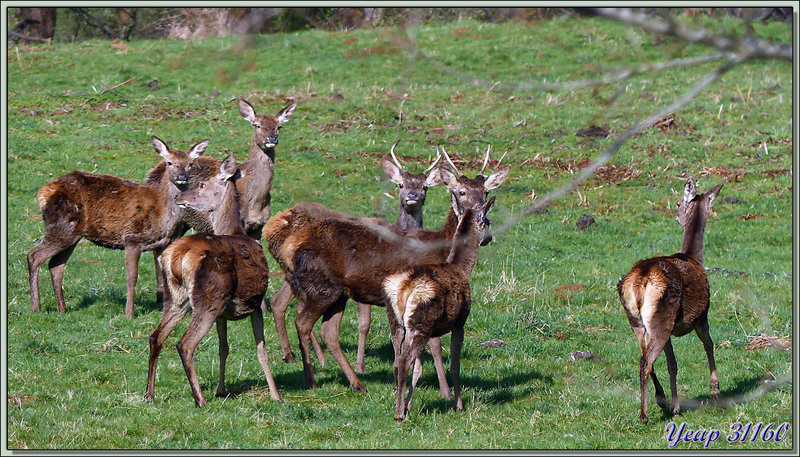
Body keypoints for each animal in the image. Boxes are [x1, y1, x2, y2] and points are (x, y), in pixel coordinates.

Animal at [27, 135, 208, 318]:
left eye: (190, 163)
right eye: (170, 162)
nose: (182, 176)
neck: (164, 216)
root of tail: (42, 193)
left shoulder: (162, 244)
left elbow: (164, 276)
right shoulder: (133, 238)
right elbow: (132, 277)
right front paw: (129, 313)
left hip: (72, 234)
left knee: (56, 265)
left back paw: (62, 309)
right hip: (61, 227)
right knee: (34, 256)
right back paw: (36, 307)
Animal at [145, 152, 282, 406]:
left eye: (202, 185)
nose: (179, 196)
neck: (236, 230)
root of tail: (178, 256)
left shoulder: (223, 314)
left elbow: (223, 347)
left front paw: (221, 389)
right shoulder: (256, 302)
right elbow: (262, 350)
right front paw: (276, 395)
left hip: (177, 299)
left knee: (156, 336)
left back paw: (149, 394)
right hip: (210, 298)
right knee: (185, 343)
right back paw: (200, 399)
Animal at [266, 148, 510, 394]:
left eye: (486, 192)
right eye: (461, 191)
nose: (485, 230)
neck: (443, 250)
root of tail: (290, 242)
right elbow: (435, 344)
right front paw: (444, 390)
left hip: (337, 293)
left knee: (328, 331)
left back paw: (356, 383)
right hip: (321, 287)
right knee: (302, 322)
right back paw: (311, 379)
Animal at [384, 200, 490, 420]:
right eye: (487, 221)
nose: (489, 238)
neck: (462, 269)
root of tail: (405, 287)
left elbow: (418, 370)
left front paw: (409, 405)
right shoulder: (460, 322)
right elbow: (455, 365)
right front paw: (459, 404)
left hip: (396, 324)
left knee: (398, 362)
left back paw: (400, 407)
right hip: (421, 322)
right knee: (404, 361)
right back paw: (398, 414)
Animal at [620, 176, 724, 422]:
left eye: (677, 203)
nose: (677, 216)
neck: (695, 258)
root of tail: (641, 280)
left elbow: (672, 364)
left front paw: (676, 406)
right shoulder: (702, 315)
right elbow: (709, 345)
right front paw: (715, 391)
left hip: (638, 320)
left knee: (645, 356)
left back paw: (660, 399)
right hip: (662, 316)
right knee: (645, 361)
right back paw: (644, 415)